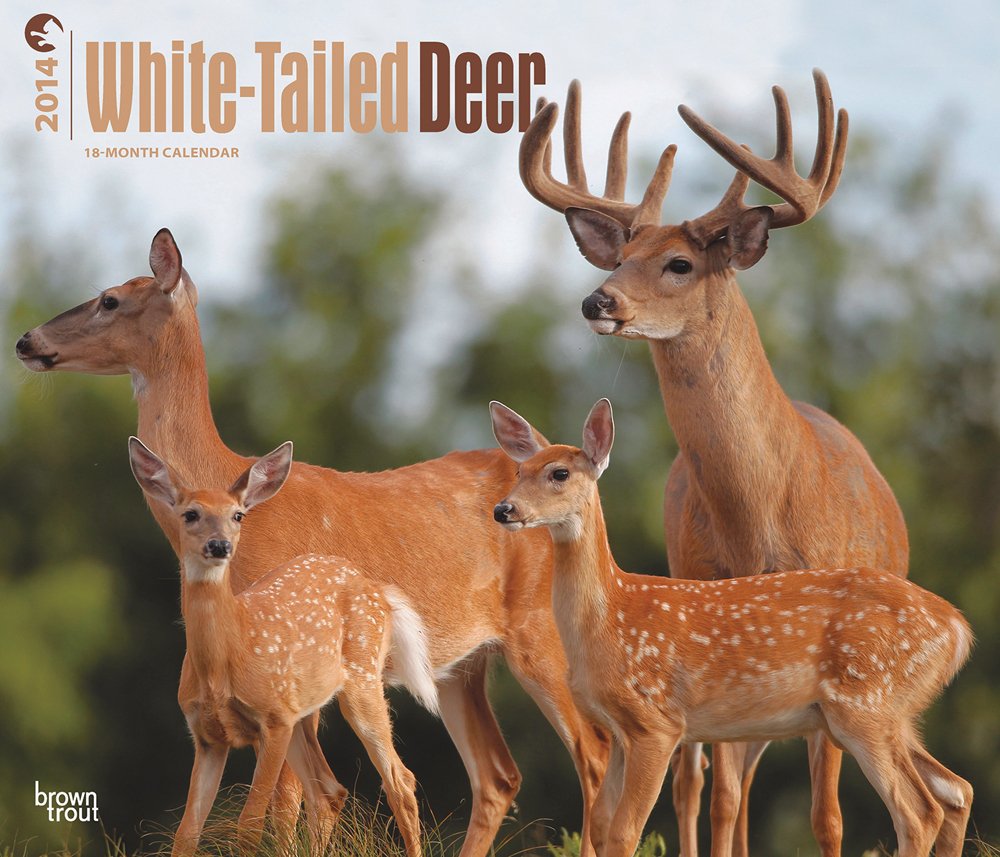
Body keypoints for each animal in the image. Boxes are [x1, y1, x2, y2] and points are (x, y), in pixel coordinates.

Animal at [127, 437, 437, 857]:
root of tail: (378, 590)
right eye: (190, 514)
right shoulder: (207, 737)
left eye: (238, 515)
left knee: (399, 779)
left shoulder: (273, 719)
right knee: (328, 789)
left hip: (360, 677)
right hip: (304, 710)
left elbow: (249, 825)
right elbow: (186, 832)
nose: (219, 545)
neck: (226, 659)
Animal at [490, 397, 972, 857]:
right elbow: (603, 826)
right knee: (956, 790)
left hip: (865, 703)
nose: (504, 509)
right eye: (519, 470)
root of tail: (957, 628)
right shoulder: (619, 730)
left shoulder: (657, 722)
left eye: (559, 473)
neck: (610, 616)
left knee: (919, 812)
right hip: (889, 714)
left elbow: (625, 833)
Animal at [519, 70, 910, 857]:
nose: (597, 299)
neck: (759, 519)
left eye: (680, 263)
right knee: (708, 783)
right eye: (619, 257)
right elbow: (719, 789)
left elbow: (827, 811)